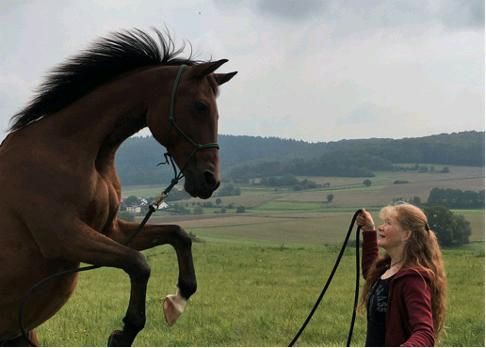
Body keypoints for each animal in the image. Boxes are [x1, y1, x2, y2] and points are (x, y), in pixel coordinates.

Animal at [0, 29, 237, 346]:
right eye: (200, 106)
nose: (210, 180)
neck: (70, 151)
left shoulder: (111, 231)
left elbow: (178, 235)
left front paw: (178, 299)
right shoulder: (62, 236)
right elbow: (139, 264)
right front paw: (125, 331)